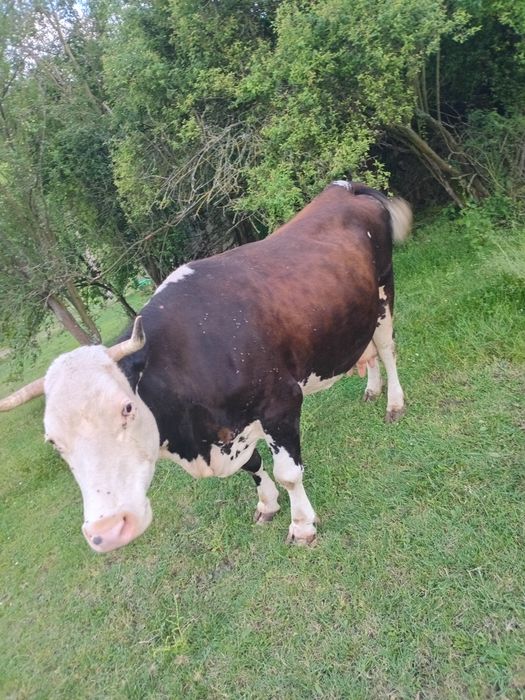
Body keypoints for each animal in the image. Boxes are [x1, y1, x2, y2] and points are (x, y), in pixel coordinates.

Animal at [0, 181, 411, 553]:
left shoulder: (281, 402)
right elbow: (254, 466)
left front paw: (302, 526)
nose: (109, 529)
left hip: (384, 289)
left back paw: (394, 402)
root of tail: (343, 188)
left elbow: (289, 473)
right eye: (52, 441)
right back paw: (371, 389)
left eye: (127, 408)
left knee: (387, 347)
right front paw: (267, 505)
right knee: (368, 350)